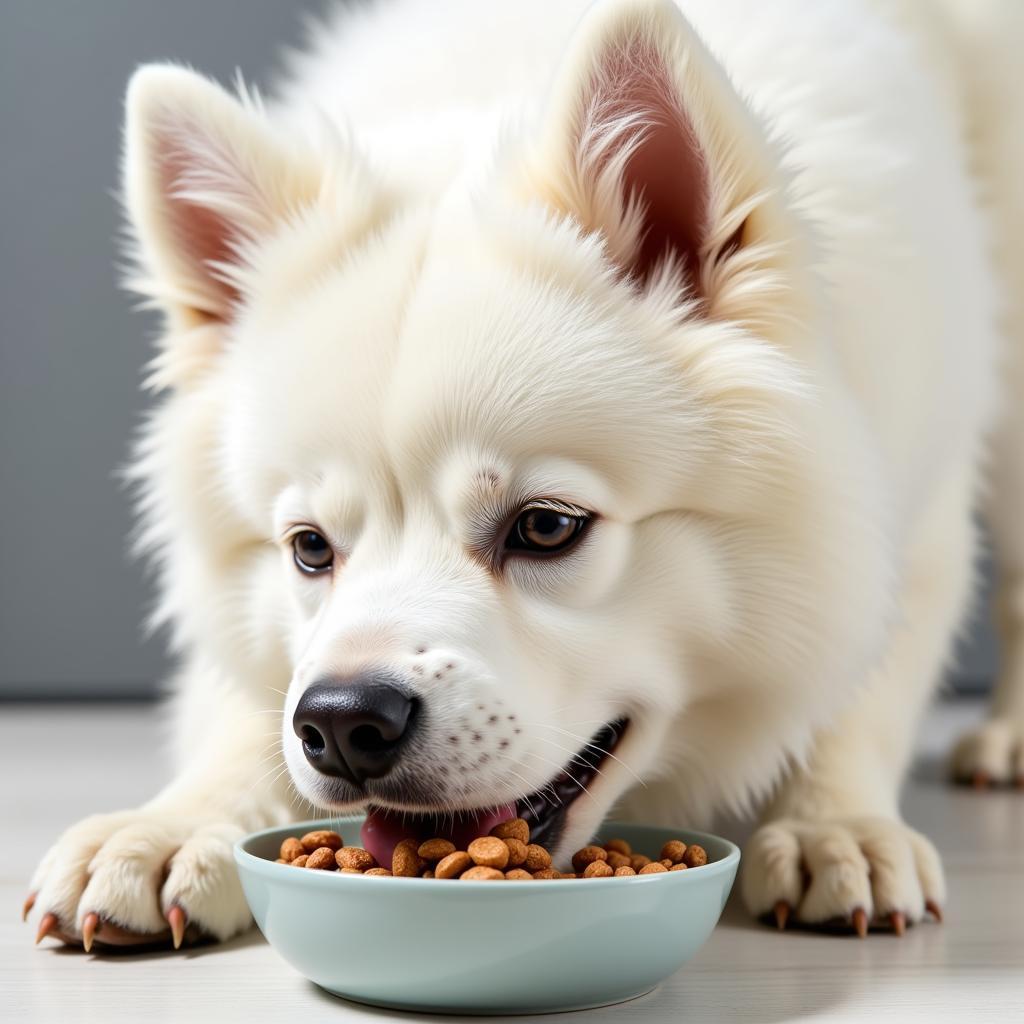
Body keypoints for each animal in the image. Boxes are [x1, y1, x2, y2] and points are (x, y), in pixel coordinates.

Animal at [25, 0, 1024, 950]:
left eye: (545, 527)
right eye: (309, 549)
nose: (342, 722)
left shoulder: (909, 504)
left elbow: (863, 677)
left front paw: (834, 824)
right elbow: (242, 706)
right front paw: (170, 827)